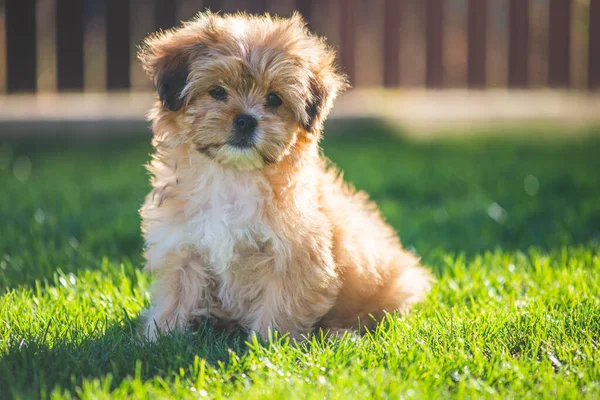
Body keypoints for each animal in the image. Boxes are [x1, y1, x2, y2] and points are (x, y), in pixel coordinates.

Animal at [139, 11, 432, 340]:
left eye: (274, 99)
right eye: (217, 92)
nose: (246, 120)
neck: (232, 176)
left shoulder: (294, 257)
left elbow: (280, 306)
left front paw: (269, 344)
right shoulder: (183, 245)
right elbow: (177, 294)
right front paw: (161, 336)